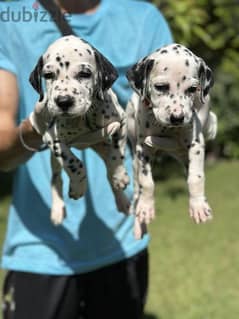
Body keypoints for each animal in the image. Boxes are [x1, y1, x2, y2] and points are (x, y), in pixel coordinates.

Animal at [29, 34, 131, 225]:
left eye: (85, 74)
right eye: (48, 75)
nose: (63, 101)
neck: (84, 118)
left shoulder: (121, 123)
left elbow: (117, 154)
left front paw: (119, 175)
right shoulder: (53, 140)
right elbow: (74, 162)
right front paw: (78, 187)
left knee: (108, 167)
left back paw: (122, 200)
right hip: (54, 160)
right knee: (56, 179)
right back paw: (57, 209)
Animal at [126, 43, 218, 240]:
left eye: (192, 89)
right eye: (161, 87)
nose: (177, 117)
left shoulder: (195, 144)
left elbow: (196, 177)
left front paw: (198, 205)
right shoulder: (142, 149)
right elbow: (146, 181)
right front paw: (146, 207)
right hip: (135, 162)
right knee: (137, 190)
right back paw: (138, 222)